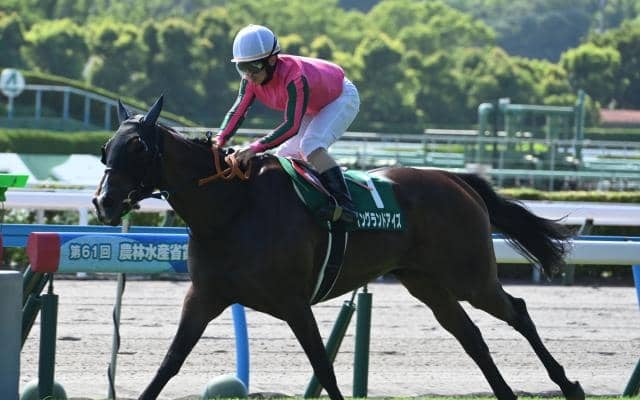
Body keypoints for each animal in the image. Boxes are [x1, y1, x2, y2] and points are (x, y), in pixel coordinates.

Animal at [92, 96, 584, 400]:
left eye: (138, 148)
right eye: (105, 148)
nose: (103, 202)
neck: (232, 208)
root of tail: (455, 179)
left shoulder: (294, 303)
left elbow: (323, 366)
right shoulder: (205, 296)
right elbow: (169, 362)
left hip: (470, 276)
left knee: (517, 311)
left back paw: (568, 384)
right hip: (426, 282)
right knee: (471, 336)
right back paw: (506, 392)